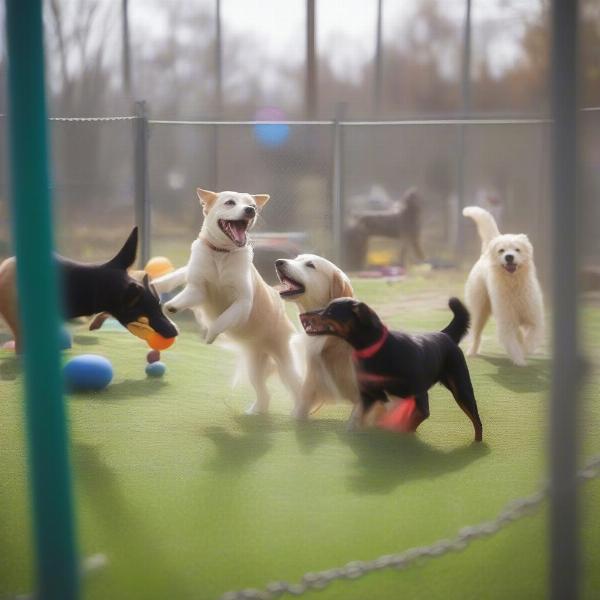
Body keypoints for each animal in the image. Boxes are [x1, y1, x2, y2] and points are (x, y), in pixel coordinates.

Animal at [154, 190, 302, 414]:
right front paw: (171, 305)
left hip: (284, 364)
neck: (220, 254)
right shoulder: (198, 289)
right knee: (264, 394)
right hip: (254, 367)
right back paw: (254, 412)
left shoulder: (243, 302)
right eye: (230, 203)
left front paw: (210, 335)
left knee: (298, 388)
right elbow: (184, 293)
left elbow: (222, 319)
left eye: (252, 205)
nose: (250, 210)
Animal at [300, 298, 482, 442]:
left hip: (462, 389)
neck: (376, 350)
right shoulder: (368, 396)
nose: (302, 316)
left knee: (477, 422)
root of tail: (445, 334)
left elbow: (408, 423)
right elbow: (358, 421)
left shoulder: (420, 399)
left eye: (330, 311)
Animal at [462, 206, 548, 366]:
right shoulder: (506, 322)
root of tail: (485, 253)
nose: (509, 257)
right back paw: (471, 352)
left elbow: (531, 339)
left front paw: (525, 351)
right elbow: (513, 344)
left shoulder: (534, 319)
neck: (513, 285)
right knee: (476, 333)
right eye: (501, 250)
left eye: (517, 249)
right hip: (479, 310)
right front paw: (520, 361)